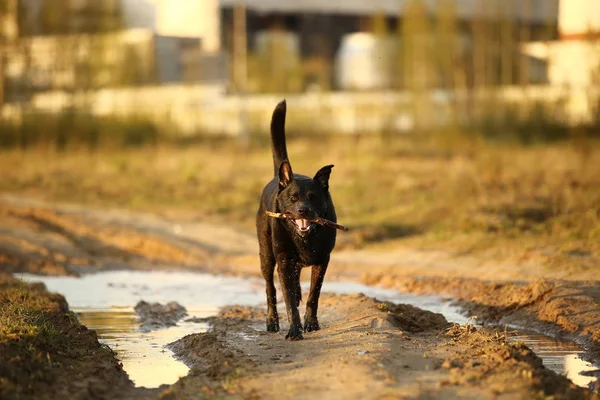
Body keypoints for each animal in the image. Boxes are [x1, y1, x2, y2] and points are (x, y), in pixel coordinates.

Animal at [254, 100, 336, 340]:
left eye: (313, 197)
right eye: (293, 198)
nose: (303, 211)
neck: (305, 238)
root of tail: (277, 177)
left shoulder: (323, 260)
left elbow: (313, 295)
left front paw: (311, 323)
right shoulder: (283, 259)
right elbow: (289, 299)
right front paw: (294, 330)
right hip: (266, 255)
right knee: (270, 287)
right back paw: (272, 321)